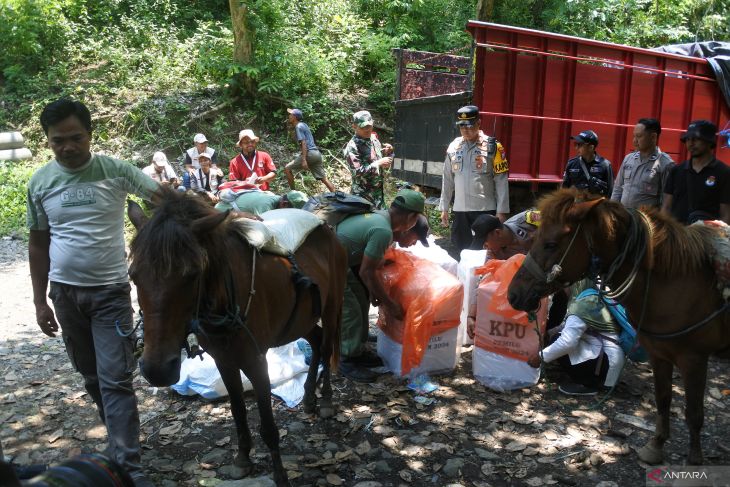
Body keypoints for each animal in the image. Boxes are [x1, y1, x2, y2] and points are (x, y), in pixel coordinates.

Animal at [126, 189, 346, 486]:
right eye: (133, 275)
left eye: (192, 274)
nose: (157, 370)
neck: (225, 301)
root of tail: (326, 230)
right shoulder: (224, 361)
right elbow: (238, 412)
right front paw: (243, 459)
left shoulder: (256, 361)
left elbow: (268, 426)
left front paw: (279, 474)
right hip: (303, 319)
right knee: (317, 342)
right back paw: (309, 396)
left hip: (332, 306)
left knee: (326, 344)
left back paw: (325, 400)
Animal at [506, 189, 728, 468]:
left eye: (551, 244)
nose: (513, 294)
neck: (677, 283)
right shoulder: (659, 355)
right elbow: (663, 400)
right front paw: (656, 446)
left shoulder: (694, 359)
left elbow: (694, 413)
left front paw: (695, 460)